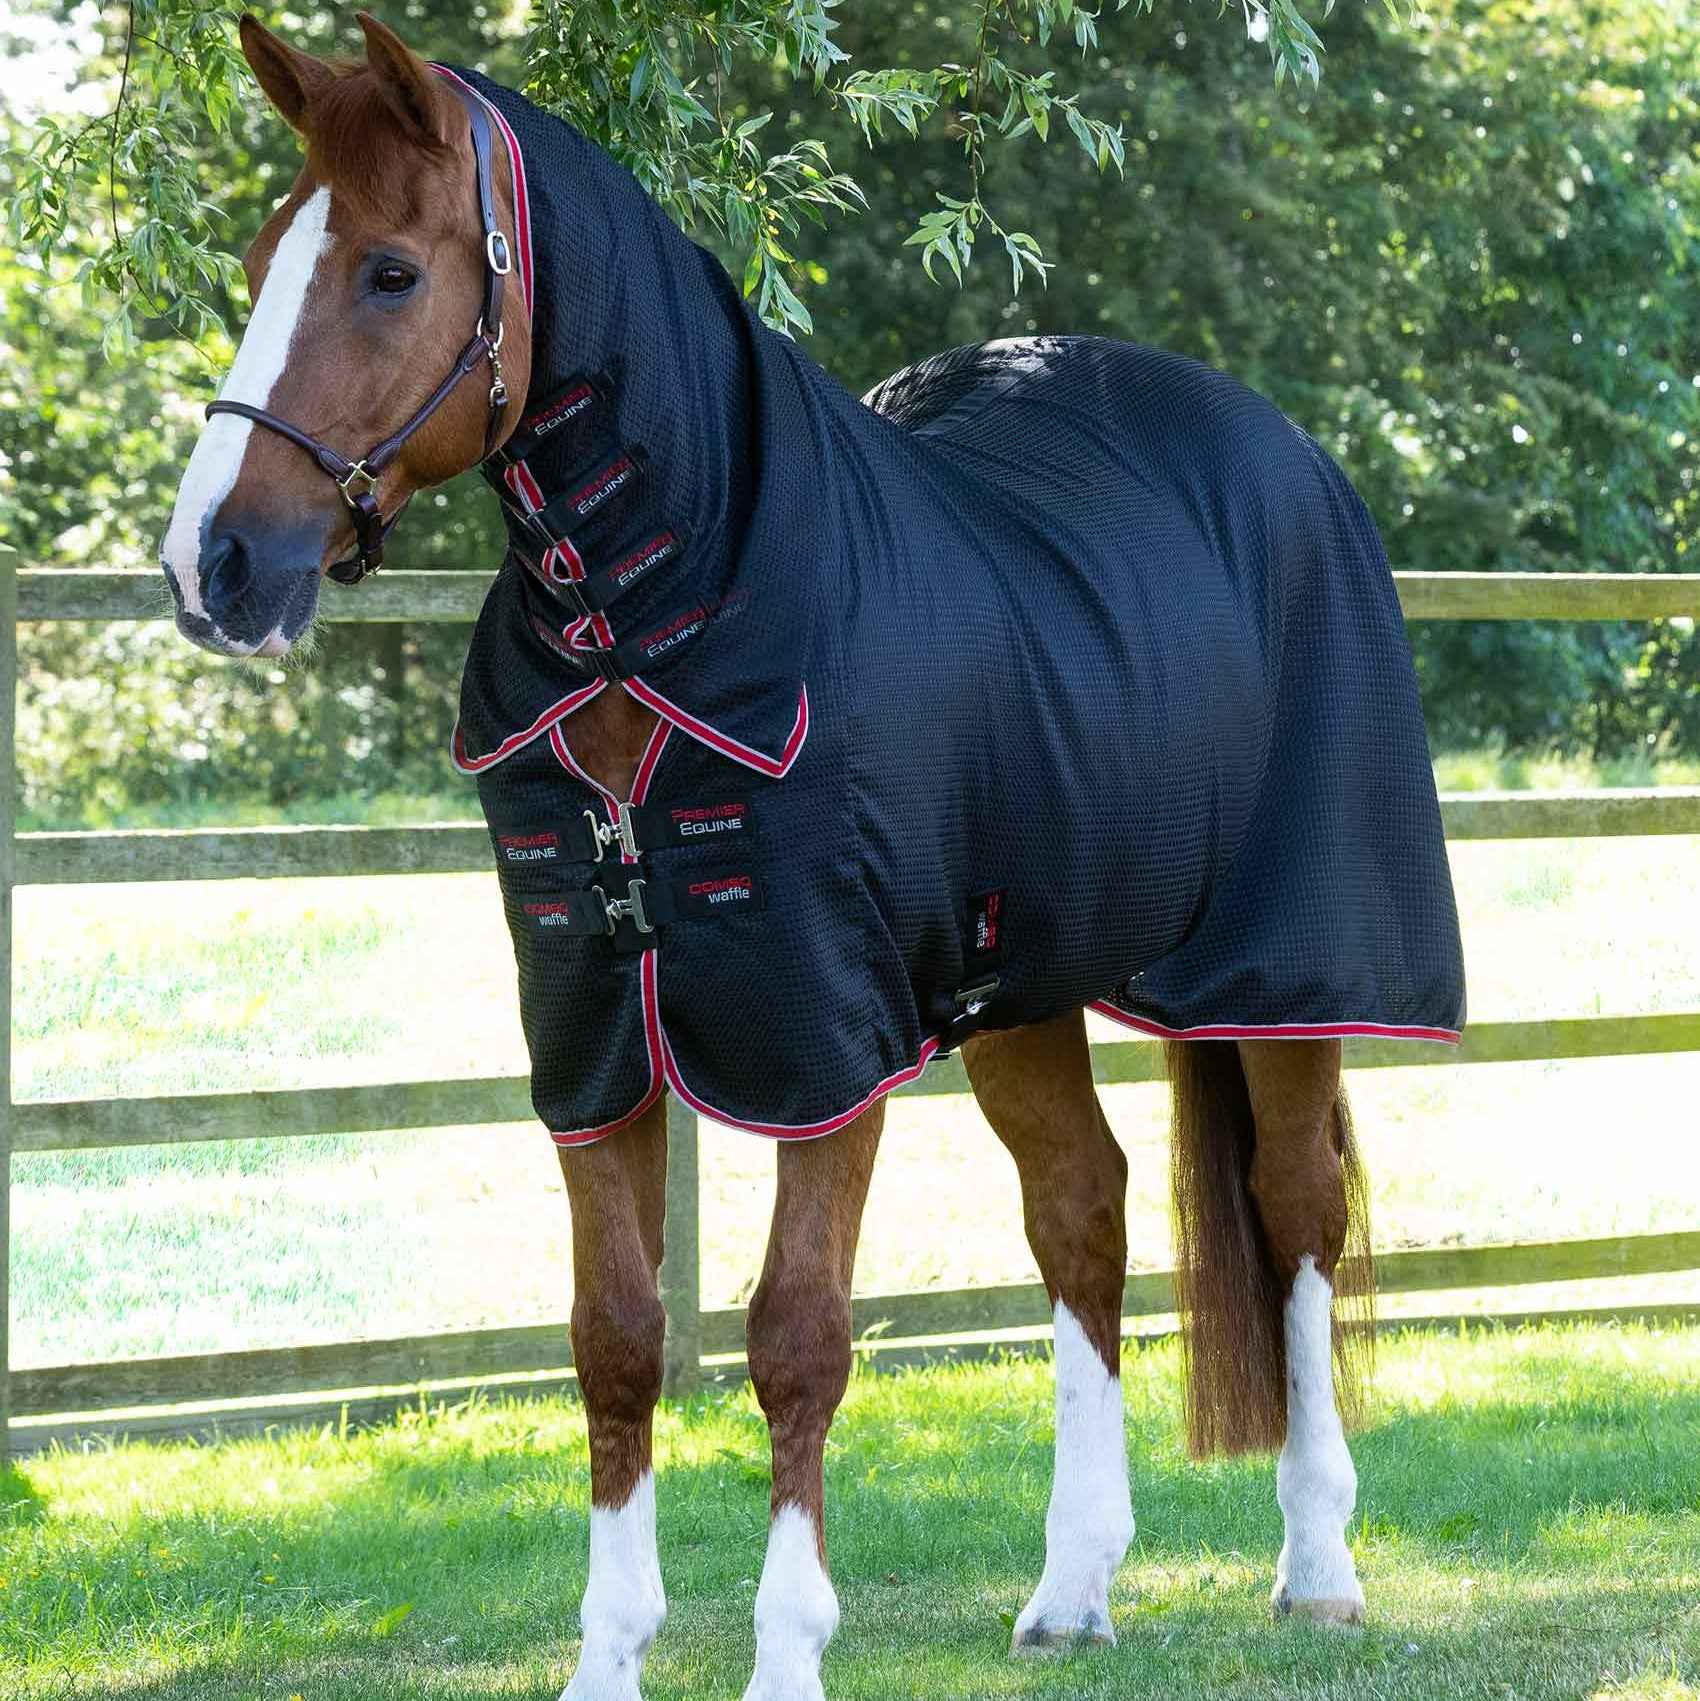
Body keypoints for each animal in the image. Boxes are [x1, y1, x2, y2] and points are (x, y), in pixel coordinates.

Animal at [159, 14, 1465, 1700]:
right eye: (267, 254)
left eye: (389, 271)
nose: (213, 563)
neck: (657, 624)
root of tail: (1285, 454)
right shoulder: (603, 1037)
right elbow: (616, 1336)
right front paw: (608, 1656)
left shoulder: (819, 1036)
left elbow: (795, 1335)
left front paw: (787, 1652)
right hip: (1019, 987)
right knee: (1084, 1209)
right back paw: (1073, 1586)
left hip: (1285, 969)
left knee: (1296, 1205)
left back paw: (1318, 1566)